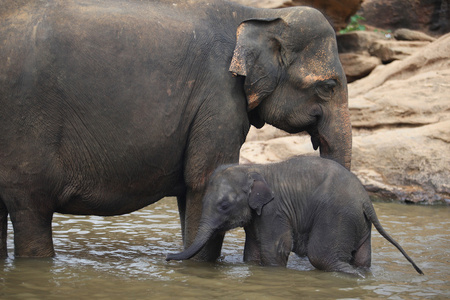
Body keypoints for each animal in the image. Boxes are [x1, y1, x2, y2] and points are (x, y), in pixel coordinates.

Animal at [0, 0, 352, 258]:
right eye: (329, 87)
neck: (260, 13)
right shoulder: (218, 94)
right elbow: (203, 180)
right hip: (26, 127)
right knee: (31, 209)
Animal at [167, 157, 424, 276]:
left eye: (223, 205)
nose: (168, 257)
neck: (254, 168)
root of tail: (366, 201)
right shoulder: (259, 215)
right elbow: (253, 251)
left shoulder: (274, 211)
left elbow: (276, 249)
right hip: (359, 223)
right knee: (362, 258)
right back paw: (362, 274)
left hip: (337, 216)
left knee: (321, 256)